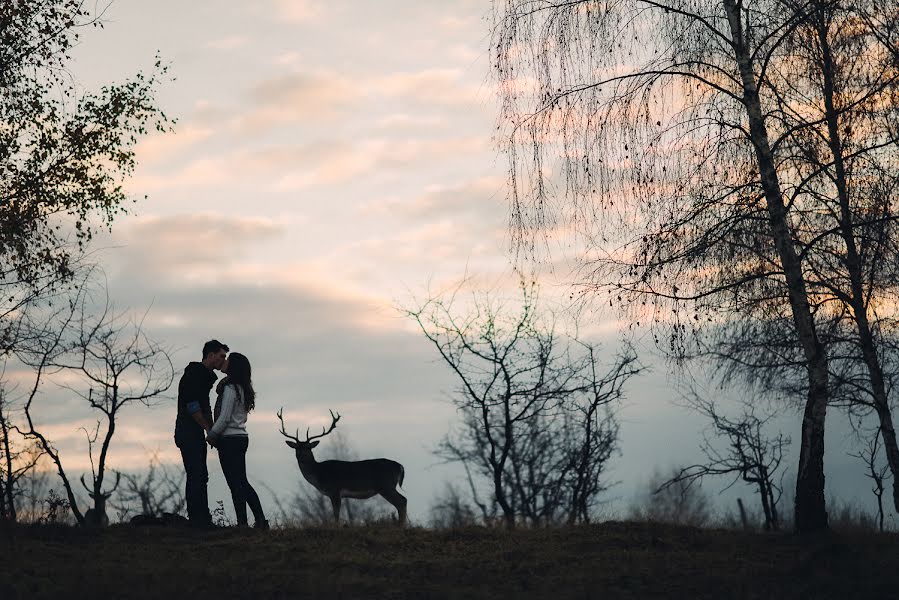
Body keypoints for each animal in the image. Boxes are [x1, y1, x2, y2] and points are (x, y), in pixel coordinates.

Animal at [278, 408, 408, 524]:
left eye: (308, 448)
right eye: (297, 448)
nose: (302, 457)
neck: (319, 474)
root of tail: (400, 466)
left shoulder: (335, 490)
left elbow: (336, 514)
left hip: (386, 485)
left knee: (402, 501)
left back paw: (401, 525)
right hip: (387, 486)